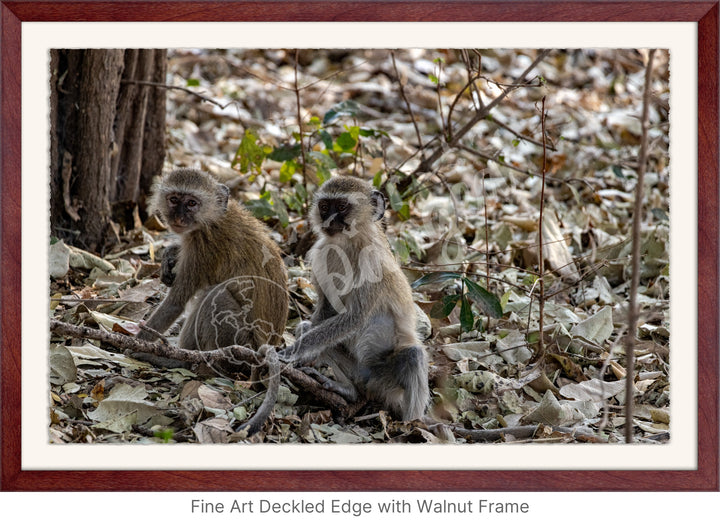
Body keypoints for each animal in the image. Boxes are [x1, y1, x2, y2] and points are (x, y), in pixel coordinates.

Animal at [280, 176, 428, 420]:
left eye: (341, 207)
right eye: (324, 207)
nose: (329, 220)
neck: (348, 244)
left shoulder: (373, 262)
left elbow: (355, 317)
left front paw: (291, 352)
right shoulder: (322, 252)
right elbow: (327, 310)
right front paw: (301, 356)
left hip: (387, 380)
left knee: (413, 356)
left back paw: (412, 423)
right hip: (357, 371)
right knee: (307, 328)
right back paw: (347, 390)